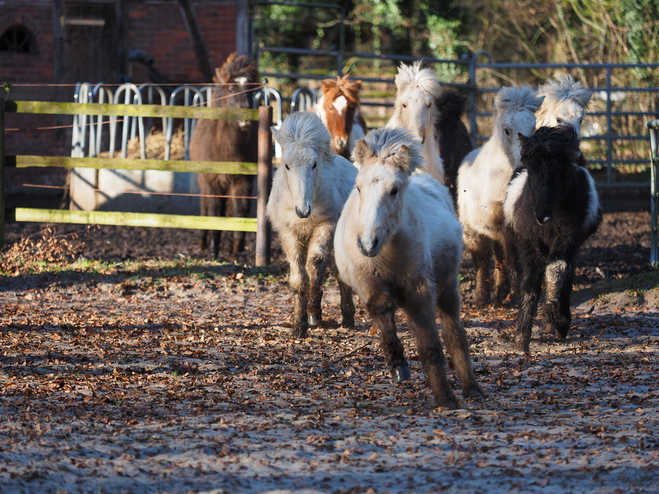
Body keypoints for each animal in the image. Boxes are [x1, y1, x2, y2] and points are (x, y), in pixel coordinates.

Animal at [189, 53, 260, 258]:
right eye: (231, 88)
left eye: (251, 91)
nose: (245, 119)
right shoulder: (212, 181)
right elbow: (215, 210)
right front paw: (214, 249)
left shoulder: (243, 180)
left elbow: (240, 209)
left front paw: (236, 246)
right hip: (204, 179)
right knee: (205, 205)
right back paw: (203, 241)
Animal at [266, 111, 356, 340]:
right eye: (287, 165)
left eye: (314, 164)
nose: (303, 210)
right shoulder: (288, 233)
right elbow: (299, 278)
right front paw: (299, 325)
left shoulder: (326, 226)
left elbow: (314, 266)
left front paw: (314, 314)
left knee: (340, 274)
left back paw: (347, 318)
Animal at [336, 127, 484, 410]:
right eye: (358, 187)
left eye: (394, 190)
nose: (368, 243)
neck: (386, 254)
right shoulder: (368, 285)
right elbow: (382, 309)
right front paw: (397, 365)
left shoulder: (419, 290)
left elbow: (431, 344)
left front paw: (445, 397)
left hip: (448, 288)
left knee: (454, 334)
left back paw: (472, 387)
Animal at [456, 87, 544, 306]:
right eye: (507, 130)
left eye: (533, 127)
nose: (525, 163)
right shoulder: (500, 222)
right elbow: (509, 258)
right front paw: (515, 292)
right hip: (472, 230)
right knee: (482, 259)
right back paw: (482, 297)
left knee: (497, 256)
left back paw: (501, 294)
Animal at [502, 125, 600, 354]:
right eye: (531, 170)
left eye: (559, 170)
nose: (542, 216)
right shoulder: (529, 241)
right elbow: (530, 282)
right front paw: (521, 337)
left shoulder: (568, 238)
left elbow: (557, 269)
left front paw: (554, 314)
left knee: (565, 272)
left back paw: (559, 323)